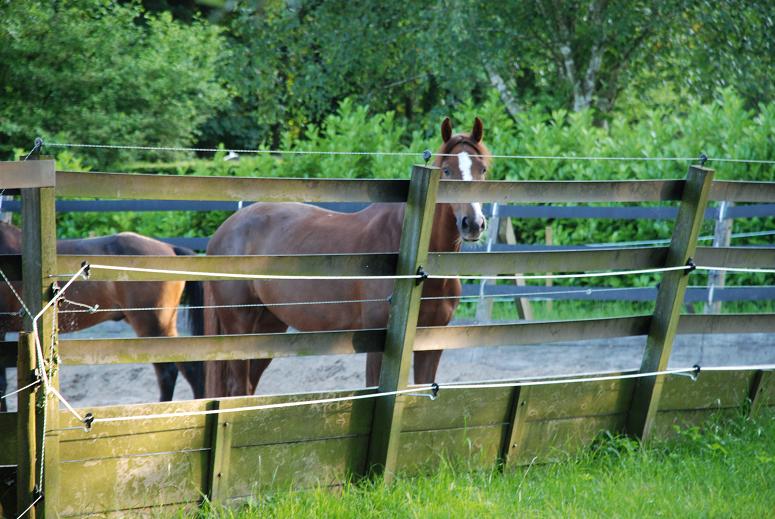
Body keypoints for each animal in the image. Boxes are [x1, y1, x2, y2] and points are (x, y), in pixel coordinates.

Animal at [203, 117, 490, 397]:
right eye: (447, 170)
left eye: (483, 170)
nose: (473, 224)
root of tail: (224, 231)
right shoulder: (378, 344)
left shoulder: (432, 342)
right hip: (240, 326)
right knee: (237, 389)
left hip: (269, 326)